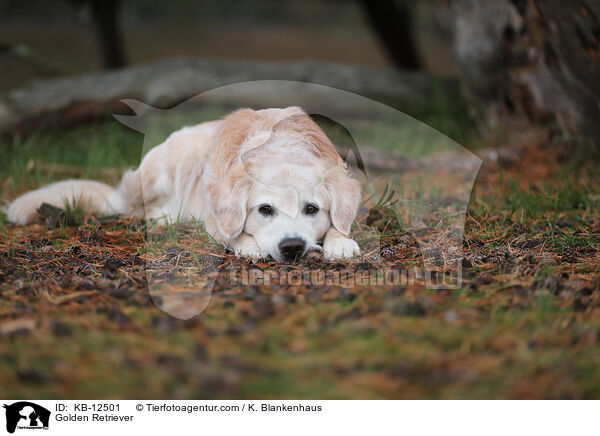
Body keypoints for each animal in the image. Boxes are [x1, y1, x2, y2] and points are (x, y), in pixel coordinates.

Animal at [7, 107, 360, 260]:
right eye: (264, 210)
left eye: (311, 209)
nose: (292, 247)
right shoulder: (216, 216)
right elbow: (232, 233)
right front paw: (249, 244)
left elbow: (339, 226)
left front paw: (340, 242)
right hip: (168, 161)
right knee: (131, 207)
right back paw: (160, 216)